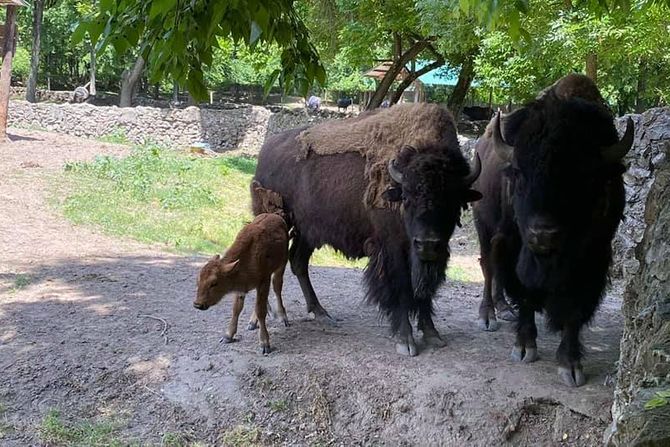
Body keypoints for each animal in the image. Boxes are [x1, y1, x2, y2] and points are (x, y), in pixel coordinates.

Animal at [193, 215, 290, 356]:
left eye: (214, 283)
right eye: (198, 280)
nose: (198, 304)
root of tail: (276, 216)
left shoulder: (264, 281)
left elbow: (261, 310)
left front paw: (265, 344)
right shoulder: (241, 288)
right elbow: (237, 309)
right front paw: (228, 336)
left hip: (281, 266)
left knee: (277, 288)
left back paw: (283, 317)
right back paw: (252, 323)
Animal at [253, 103, 484, 356]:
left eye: (453, 199)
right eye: (407, 197)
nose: (428, 244)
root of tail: (266, 150)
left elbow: (424, 291)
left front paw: (432, 334)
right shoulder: (393, 249)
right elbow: (401, 288)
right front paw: (405, 341)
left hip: (308, 232)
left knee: (298, 262)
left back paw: (320, 313)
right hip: (276, 223)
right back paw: (265, 317)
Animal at [472, 74, 636, 388]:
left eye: (585, 177)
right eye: (518, 172)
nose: (543, 234)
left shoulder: (594, 257)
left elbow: (574, 306)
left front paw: (571, 364)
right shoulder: (515, 248)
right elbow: (523, 289)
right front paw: (524, 347)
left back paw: (504, 309)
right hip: (483, 227)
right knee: (487, 265)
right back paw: (489, 316)